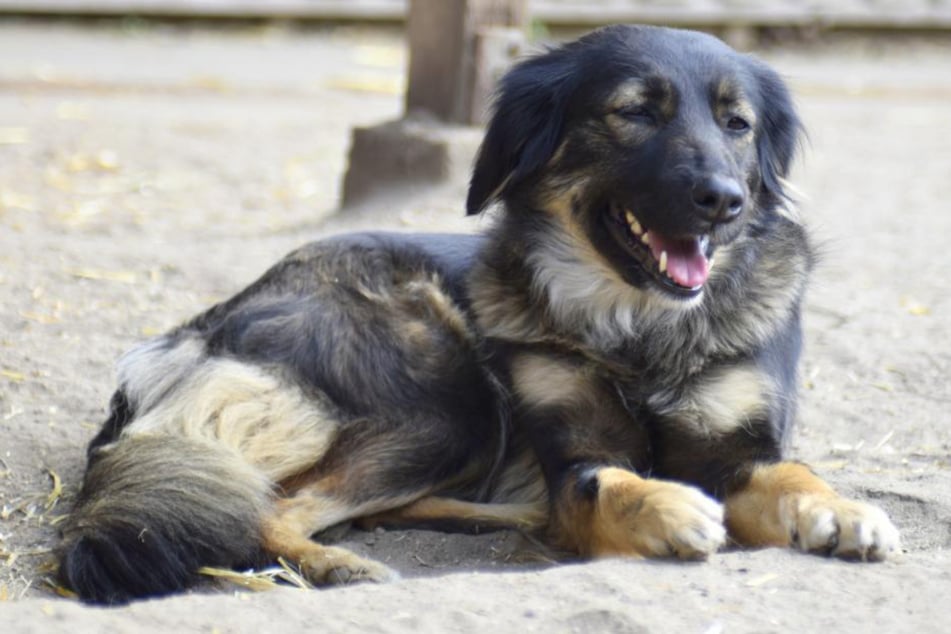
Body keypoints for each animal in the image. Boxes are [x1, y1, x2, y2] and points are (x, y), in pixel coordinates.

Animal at [57, 24, 900, 600]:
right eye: (634, 112)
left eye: (737, 124)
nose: (722, 202)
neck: (637, 328)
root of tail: (199, 330)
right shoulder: (572, 450)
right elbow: (600, 482)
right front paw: (666, 506)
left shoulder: (737, 445)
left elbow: (791, 471)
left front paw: (841, 510)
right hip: (452, 402)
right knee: (277, 505)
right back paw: (339, 563)